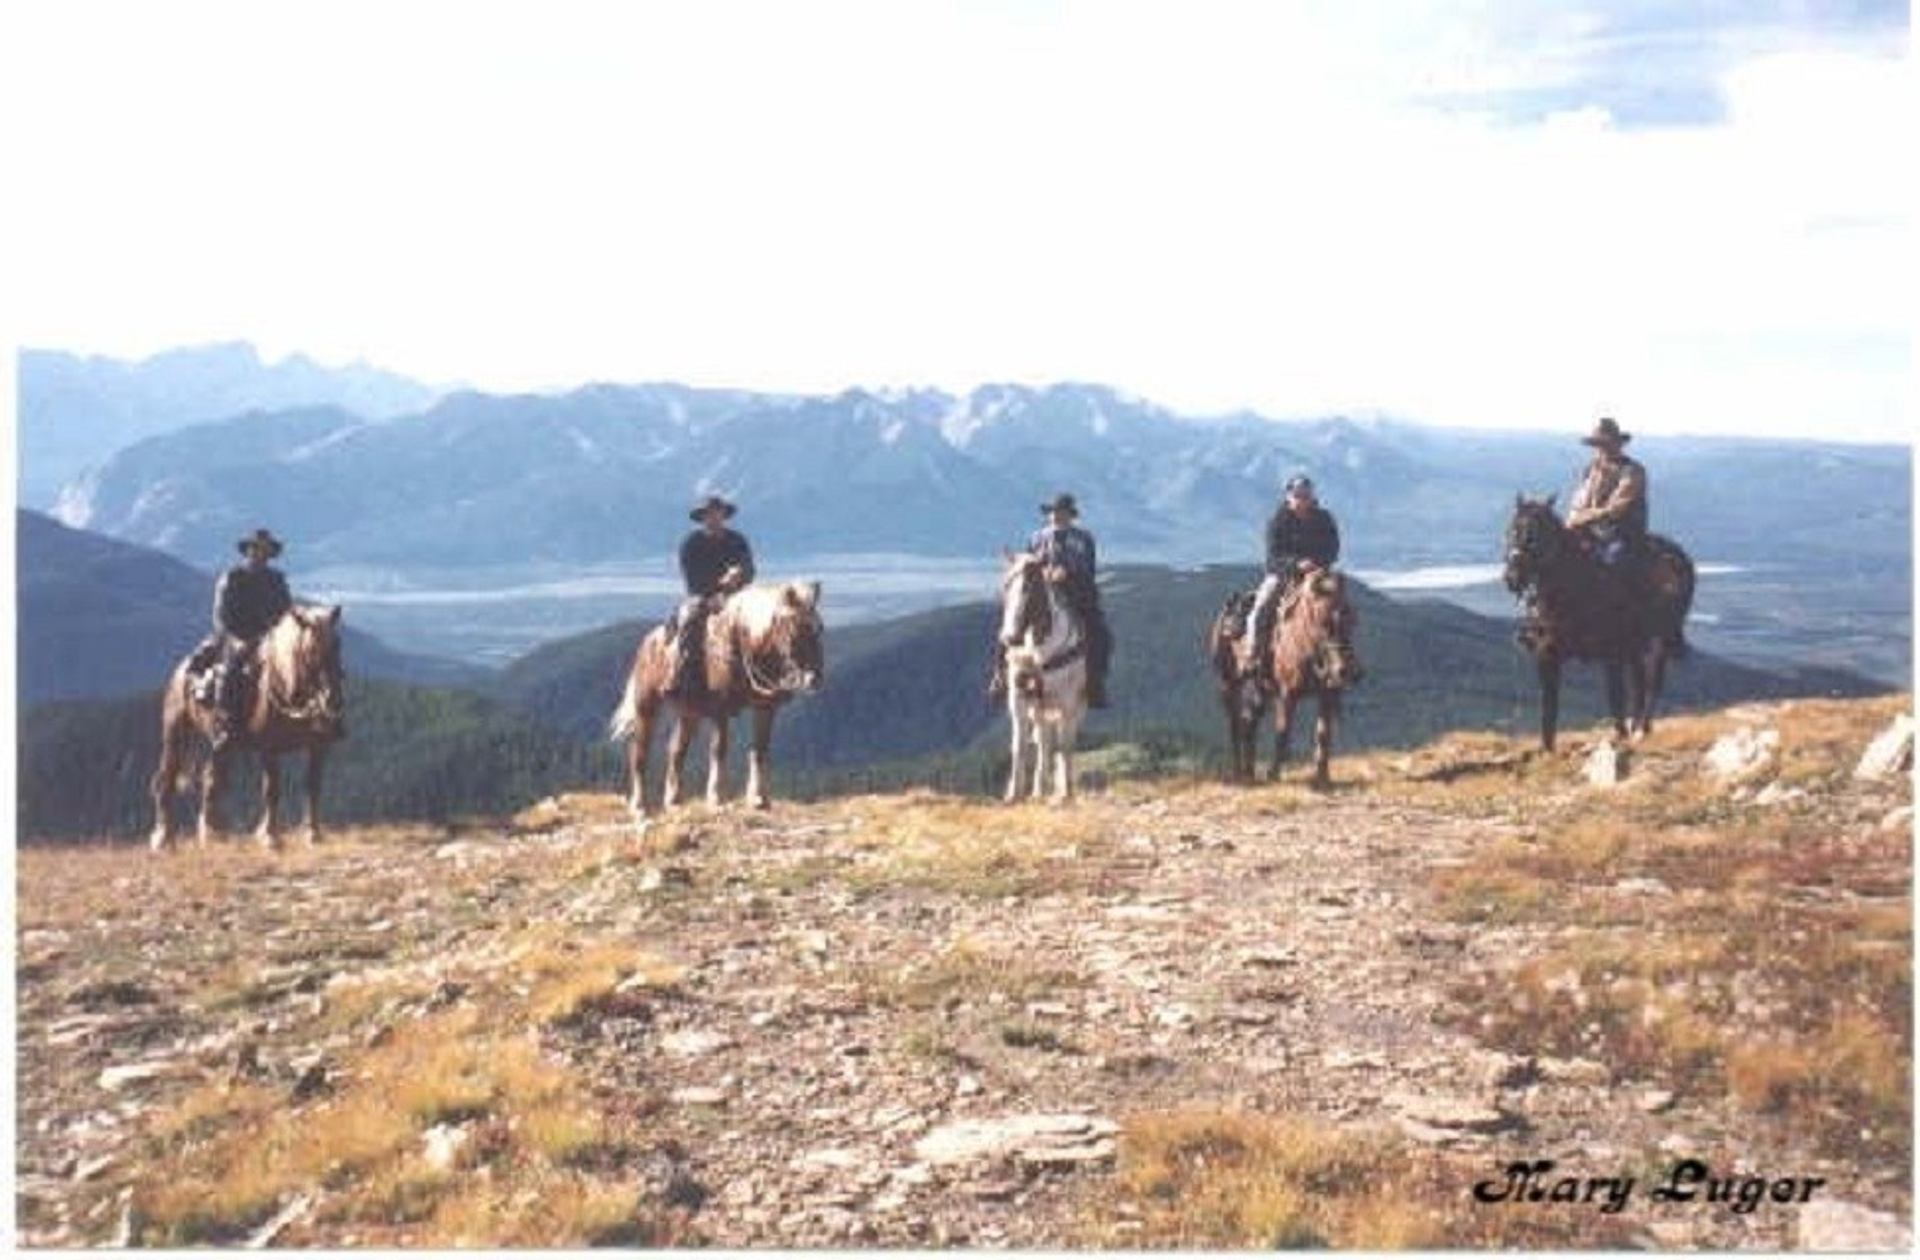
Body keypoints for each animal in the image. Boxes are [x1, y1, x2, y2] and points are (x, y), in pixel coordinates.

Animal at [149, 605, 347, 851]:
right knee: (165, 780)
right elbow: (272, 789)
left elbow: (312, 787)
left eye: (337, 644)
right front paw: (269, 836)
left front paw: (313, 833)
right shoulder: (270, 748)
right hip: (176, 734)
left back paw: (213, 834)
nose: (333, 700)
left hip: (222, 745)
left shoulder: (318, 747)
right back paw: (163, 838)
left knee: (211, 779)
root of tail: (183, 669)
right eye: (311, 650)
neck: (287, 690)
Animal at [609, 581, 824, 819]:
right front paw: (716, 799)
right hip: (646, 707)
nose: (813, 679)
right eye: (795, 628)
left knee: (676, 750)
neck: (743, 644)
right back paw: (639, 807)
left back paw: (674, 801)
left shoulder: (765, 708)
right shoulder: (721, 710)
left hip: (689, 714)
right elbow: (719, 750)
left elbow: (759, 750)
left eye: (819, 628)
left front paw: (759, 799)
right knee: (639, 753)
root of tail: (648, 643)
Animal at [998, 552, 1090, 803]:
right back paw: (1038, 790)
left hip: (1072, 708)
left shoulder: (1066, 704)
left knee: (1061, 742)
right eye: (1006, 585)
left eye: (1029, 588)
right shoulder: (1019, 700)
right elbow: (1019, 746)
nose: (1009, 638)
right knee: (1043, 743)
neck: (1038, 652)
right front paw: (1013, 794)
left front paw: (1066, 792)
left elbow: (1064, 746)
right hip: (1039, 708)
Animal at [1503, 494, 1696, 751]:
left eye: (1533, 535)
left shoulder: (1608, 652)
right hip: (1635, 647)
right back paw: (1636, 726)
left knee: (1653, 683)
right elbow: (1549, 702)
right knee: (1639, 683)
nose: (1512, 578)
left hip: (1658, 642)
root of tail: (1678, 556)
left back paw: (1642, 730)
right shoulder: (1547, 653)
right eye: (1511, 531)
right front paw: (1547, 748)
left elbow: (1614, 696)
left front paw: (1621, 735)